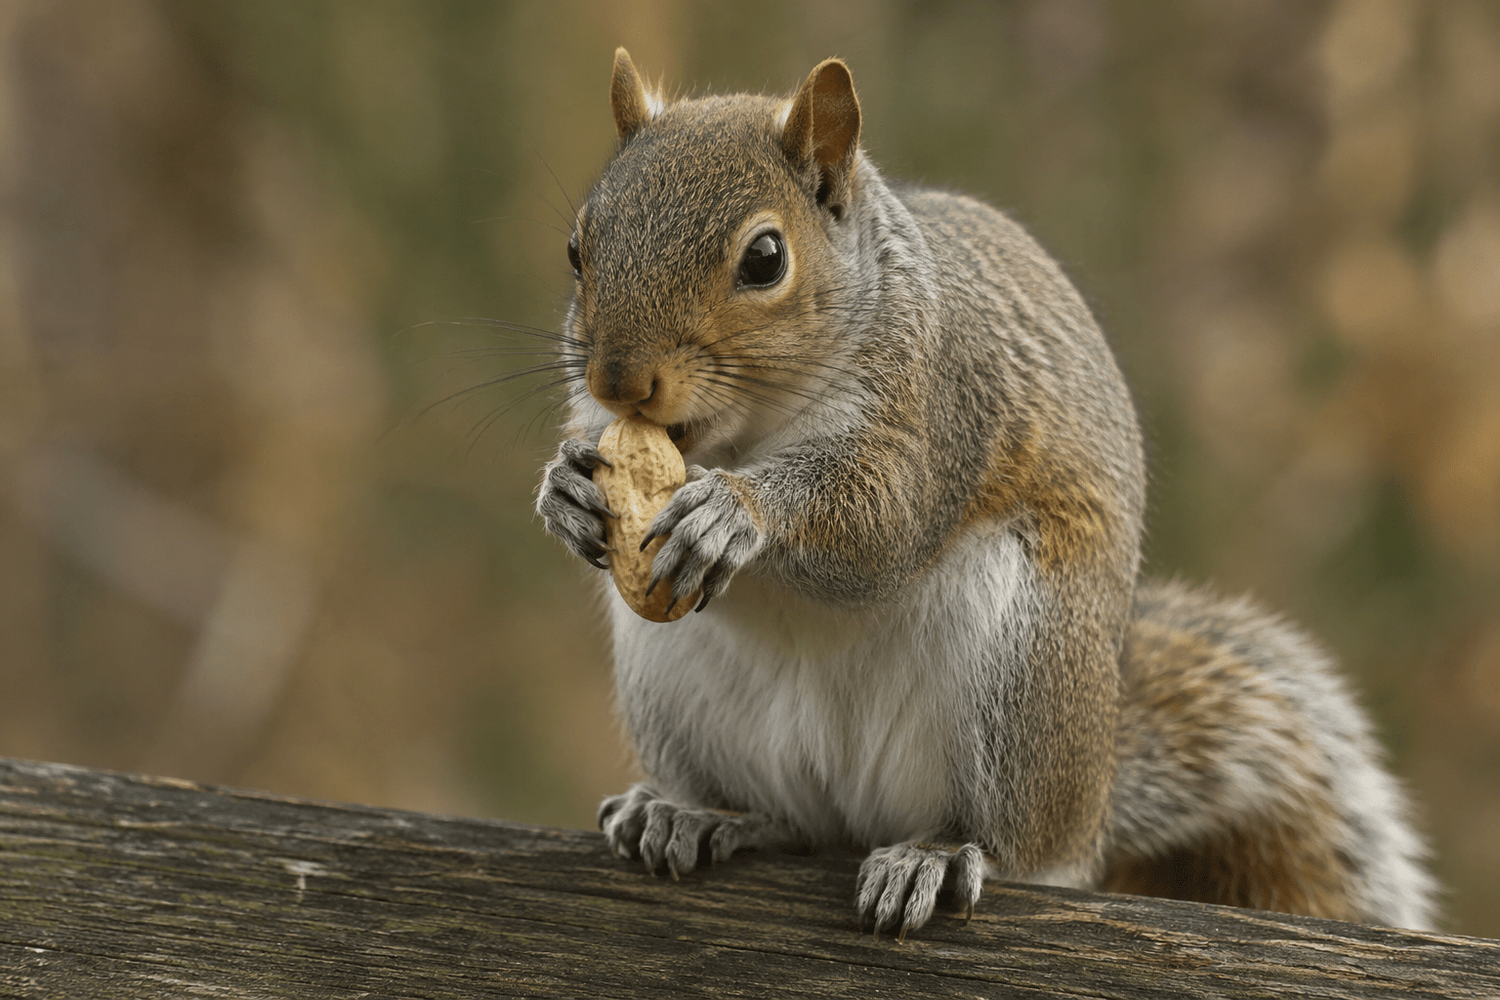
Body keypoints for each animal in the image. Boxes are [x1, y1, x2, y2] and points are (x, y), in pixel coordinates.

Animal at [536, 49, 1438, 938]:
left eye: (765, 259)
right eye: (578, 250)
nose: (619, 381)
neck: (742, 431)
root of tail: (1093, 804)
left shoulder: (942, 404)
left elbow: (879, 525)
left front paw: (734, 512)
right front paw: (565, 491)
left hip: (1020, 675)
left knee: (1014, 843)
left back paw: (936, 857)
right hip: (673, 685)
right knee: (788, 821)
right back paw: (698, 813)